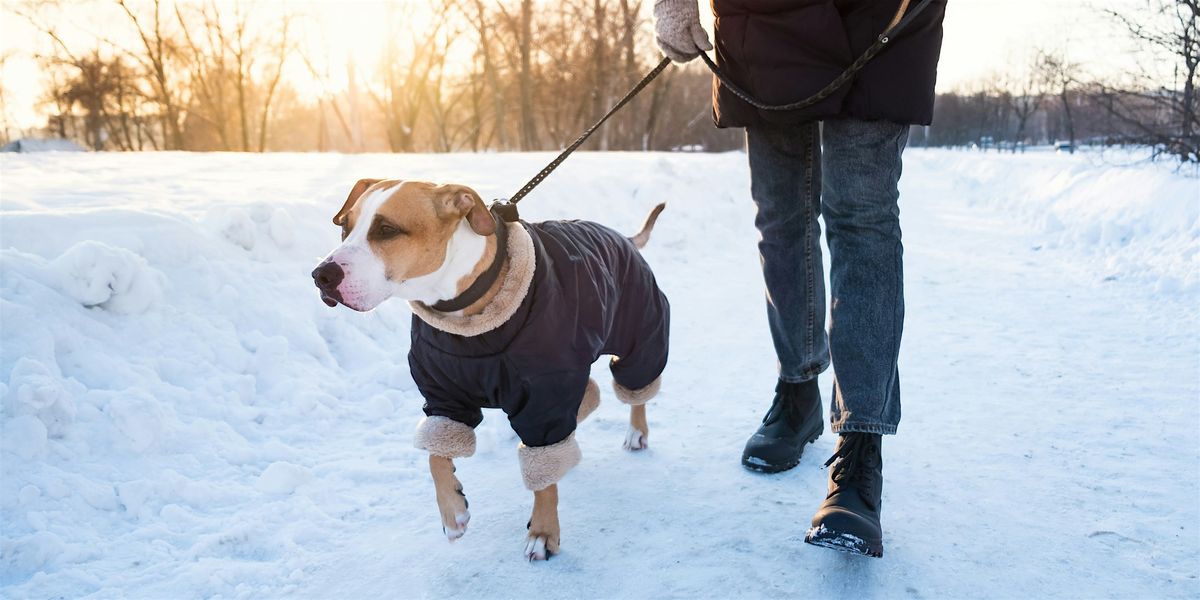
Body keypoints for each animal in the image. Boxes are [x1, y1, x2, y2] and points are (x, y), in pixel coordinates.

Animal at [309, 178, 672, 561]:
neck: (463, 313)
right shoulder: (444, 396)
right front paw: (452, 512)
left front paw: (543, 532)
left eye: (387, 230)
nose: (321, 275)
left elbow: (543, 476)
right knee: (589, 393)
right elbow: (436, 456)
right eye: (345, 227)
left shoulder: (545, 395)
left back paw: (637, 433)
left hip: (641, 331)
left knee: (637, 385)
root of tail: (622, 237)